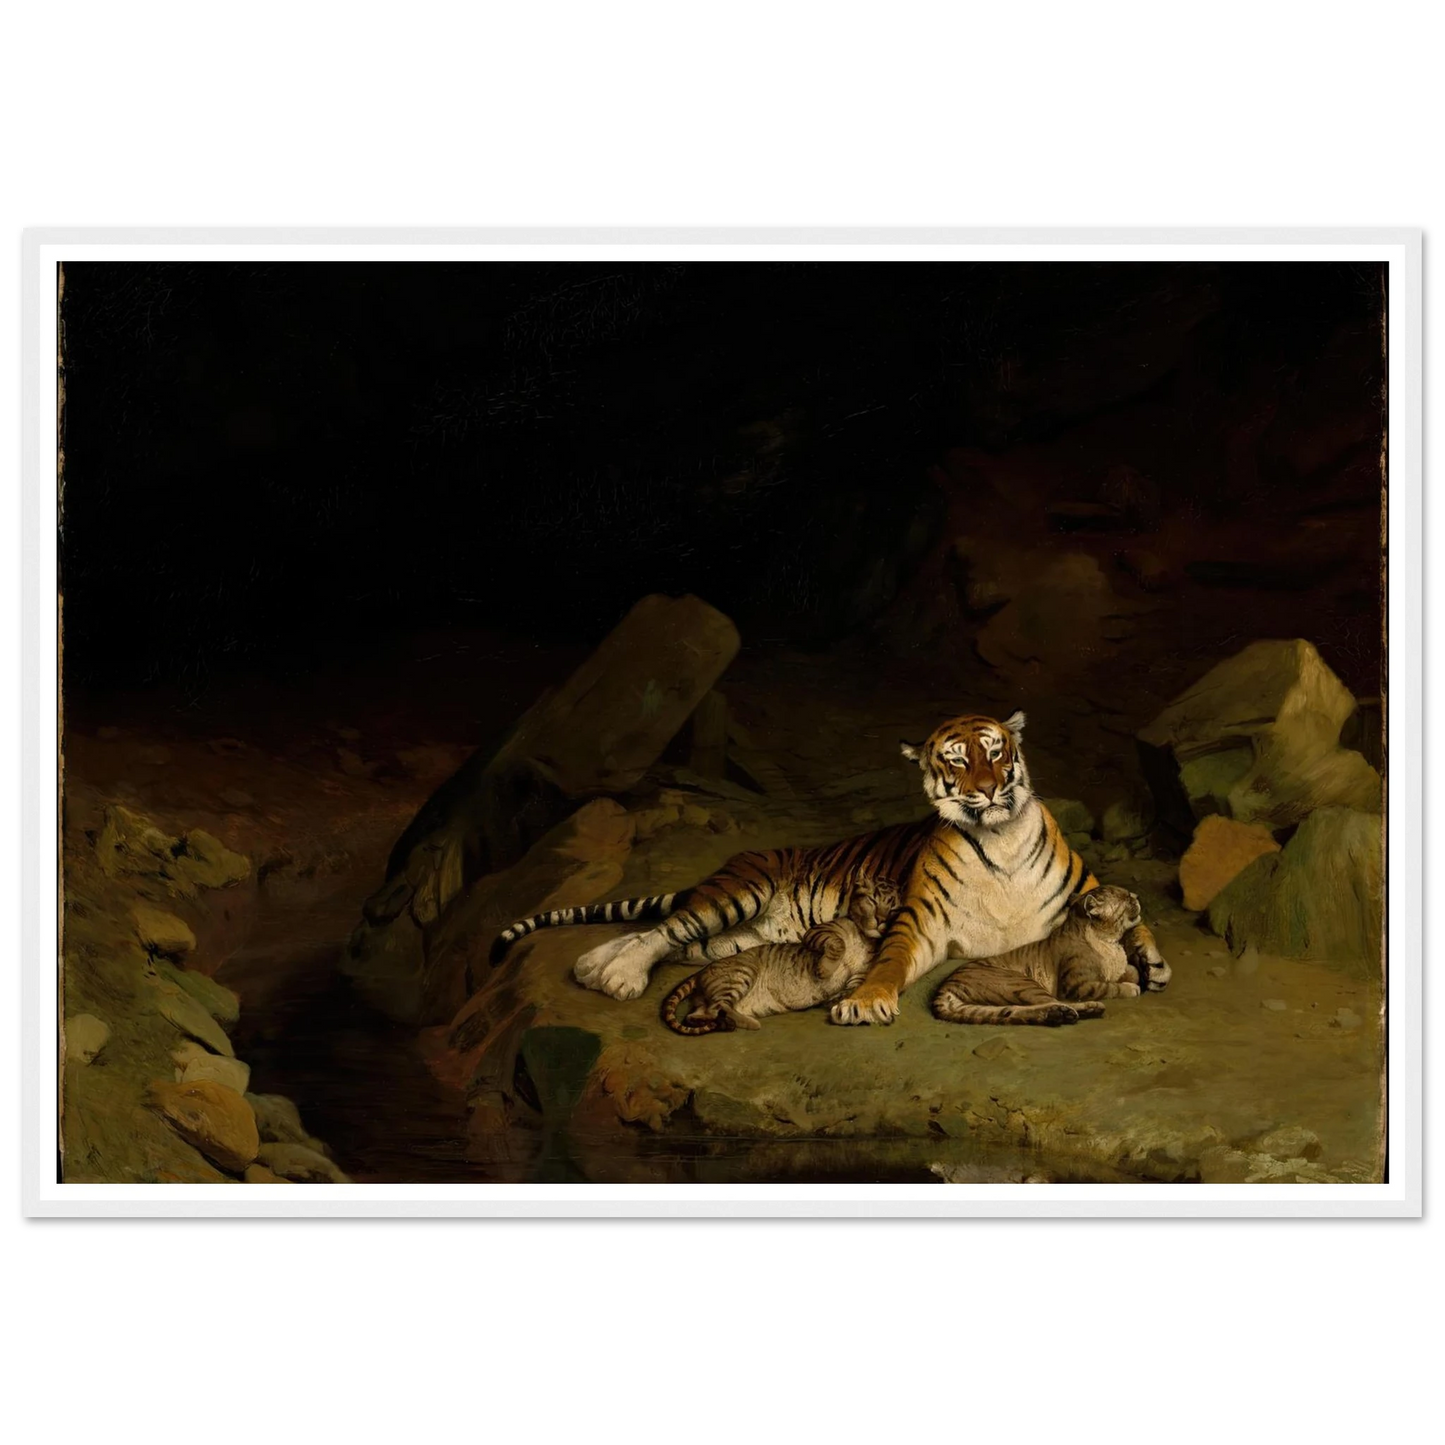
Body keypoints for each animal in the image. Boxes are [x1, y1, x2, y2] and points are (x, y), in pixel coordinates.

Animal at [659, 878, 900, 1035]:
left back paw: (726, 1023)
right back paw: (748, 1023)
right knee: (719, 1007)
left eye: (893, 908)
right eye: (872, 901)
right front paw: (825, 970)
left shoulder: (860, 973)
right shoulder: (818, 932)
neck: (864, 936)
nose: (881, 920)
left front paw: (841, 1000)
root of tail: (701, 972)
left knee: (699, 1014)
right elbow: (837, 944)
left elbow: (854, 986)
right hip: (741, 975)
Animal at [932, 884, 1172, 1026]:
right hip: (1022, 983)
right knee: (1052, 1002)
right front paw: (1131, 987)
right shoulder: (1076, 985)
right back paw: (1084, 1009)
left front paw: (1141, 973)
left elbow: (1128, 970)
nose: (1136, 896)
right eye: (1125, 897)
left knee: (1012, 1011)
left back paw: (1059, 1015)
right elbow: (1109, 986)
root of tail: (944, 987)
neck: (1110, 941)